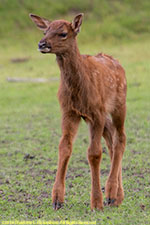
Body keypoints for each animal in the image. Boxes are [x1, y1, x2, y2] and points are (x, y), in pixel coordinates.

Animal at [29, 13, 126, 210]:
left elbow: (94, 153)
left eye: (63, 33)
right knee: (112, 140)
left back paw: (112, 194)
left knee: (120, 139)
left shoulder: (96, 112)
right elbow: (64, 147)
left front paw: (96, 203)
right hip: (103, 115)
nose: (42, 44)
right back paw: (117, 196)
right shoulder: (69, 112)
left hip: (119, 105)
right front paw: (57, 199)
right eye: (45, 31)